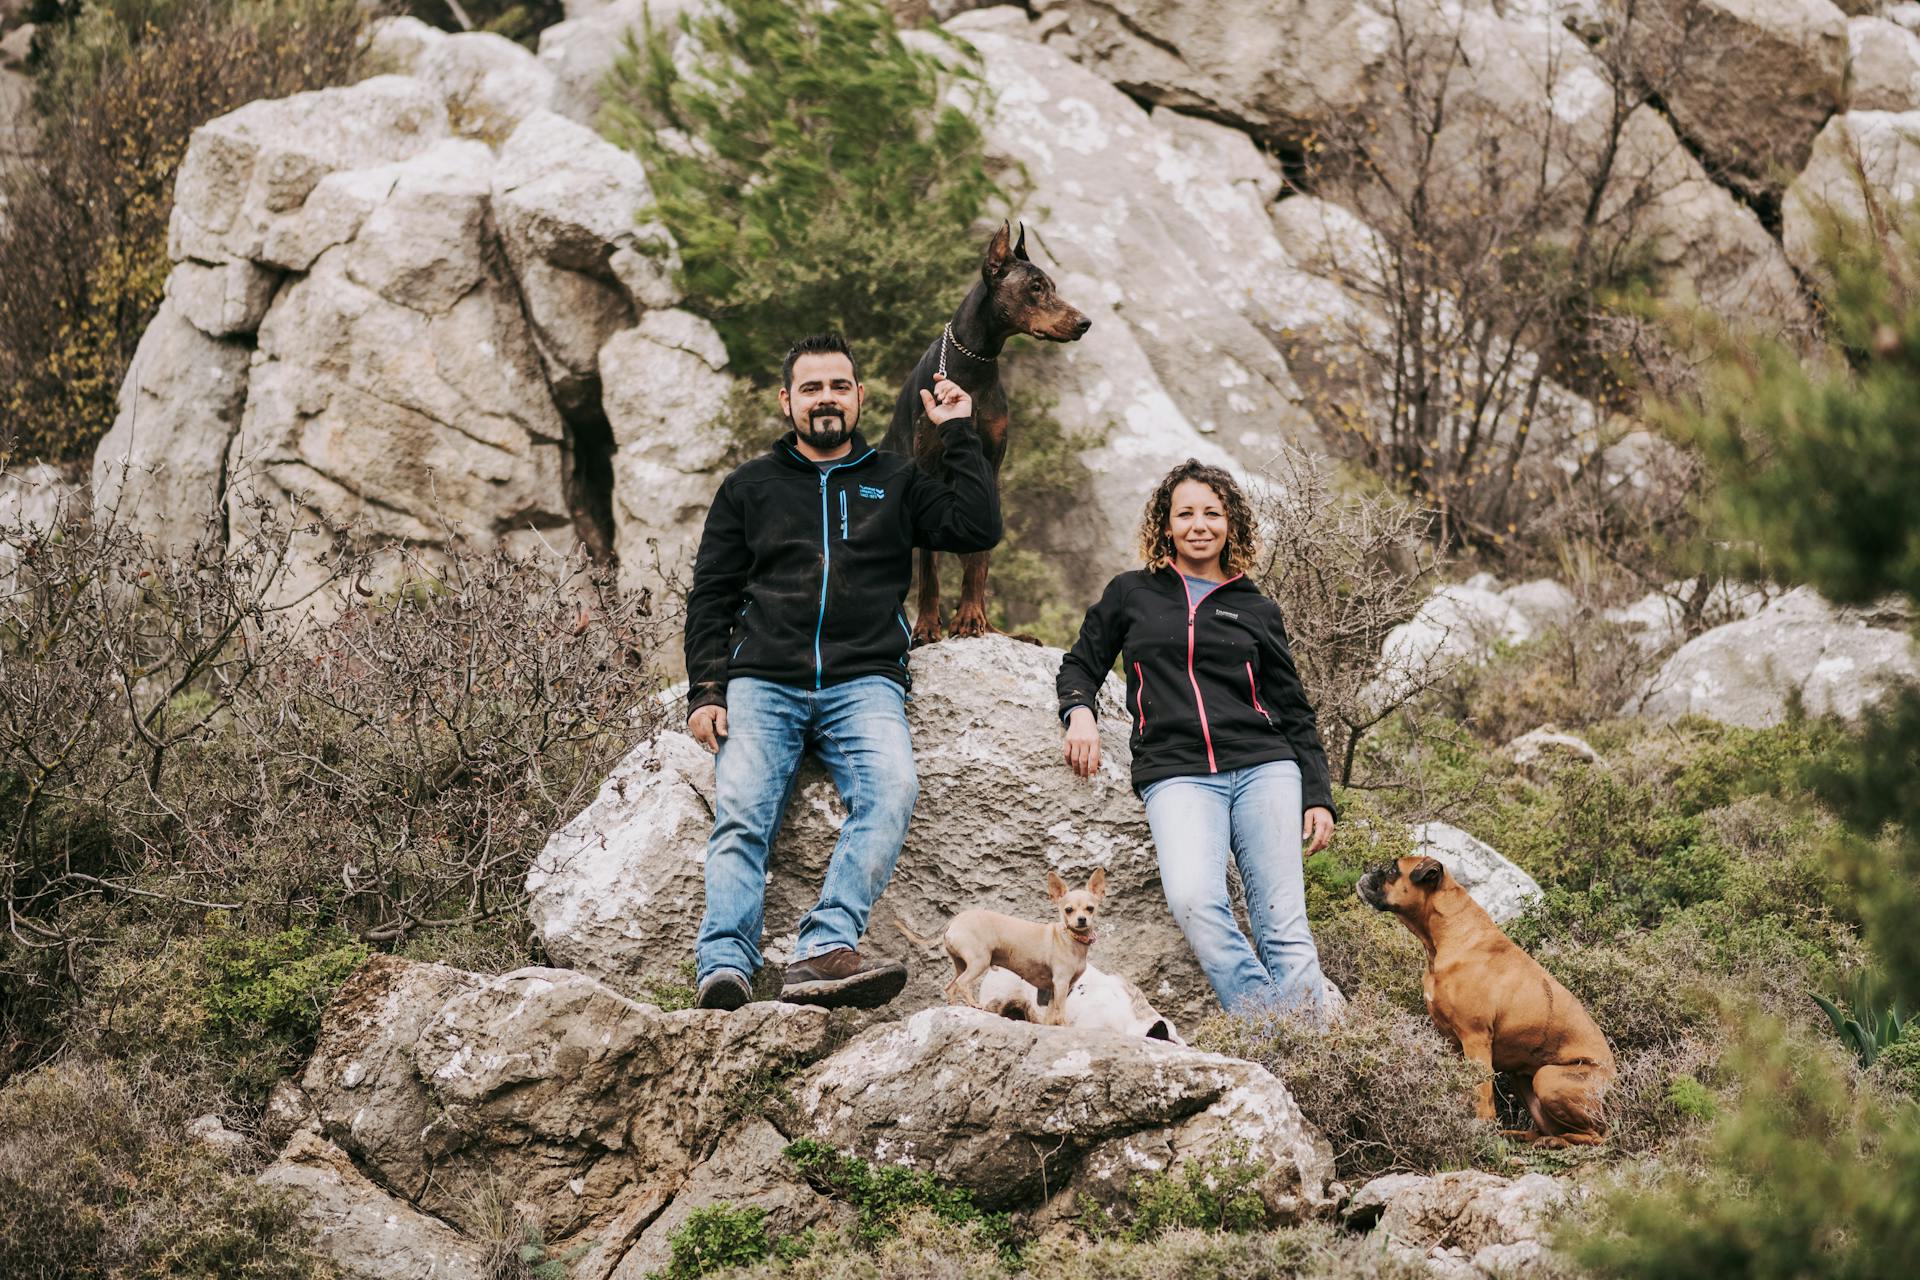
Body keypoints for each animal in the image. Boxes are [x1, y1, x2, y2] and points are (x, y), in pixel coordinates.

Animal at [1359, 855, 1612, 1143]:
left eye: (1392, 869)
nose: (1369, 870)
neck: (1444, 938)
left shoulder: (1476, 1039)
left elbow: (1482, 1093)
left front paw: (1479, 1129)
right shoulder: (1453, 1043)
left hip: (1548, 1079)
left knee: (1594, 1136)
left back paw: (1552, 1142)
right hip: (1523, 1081)